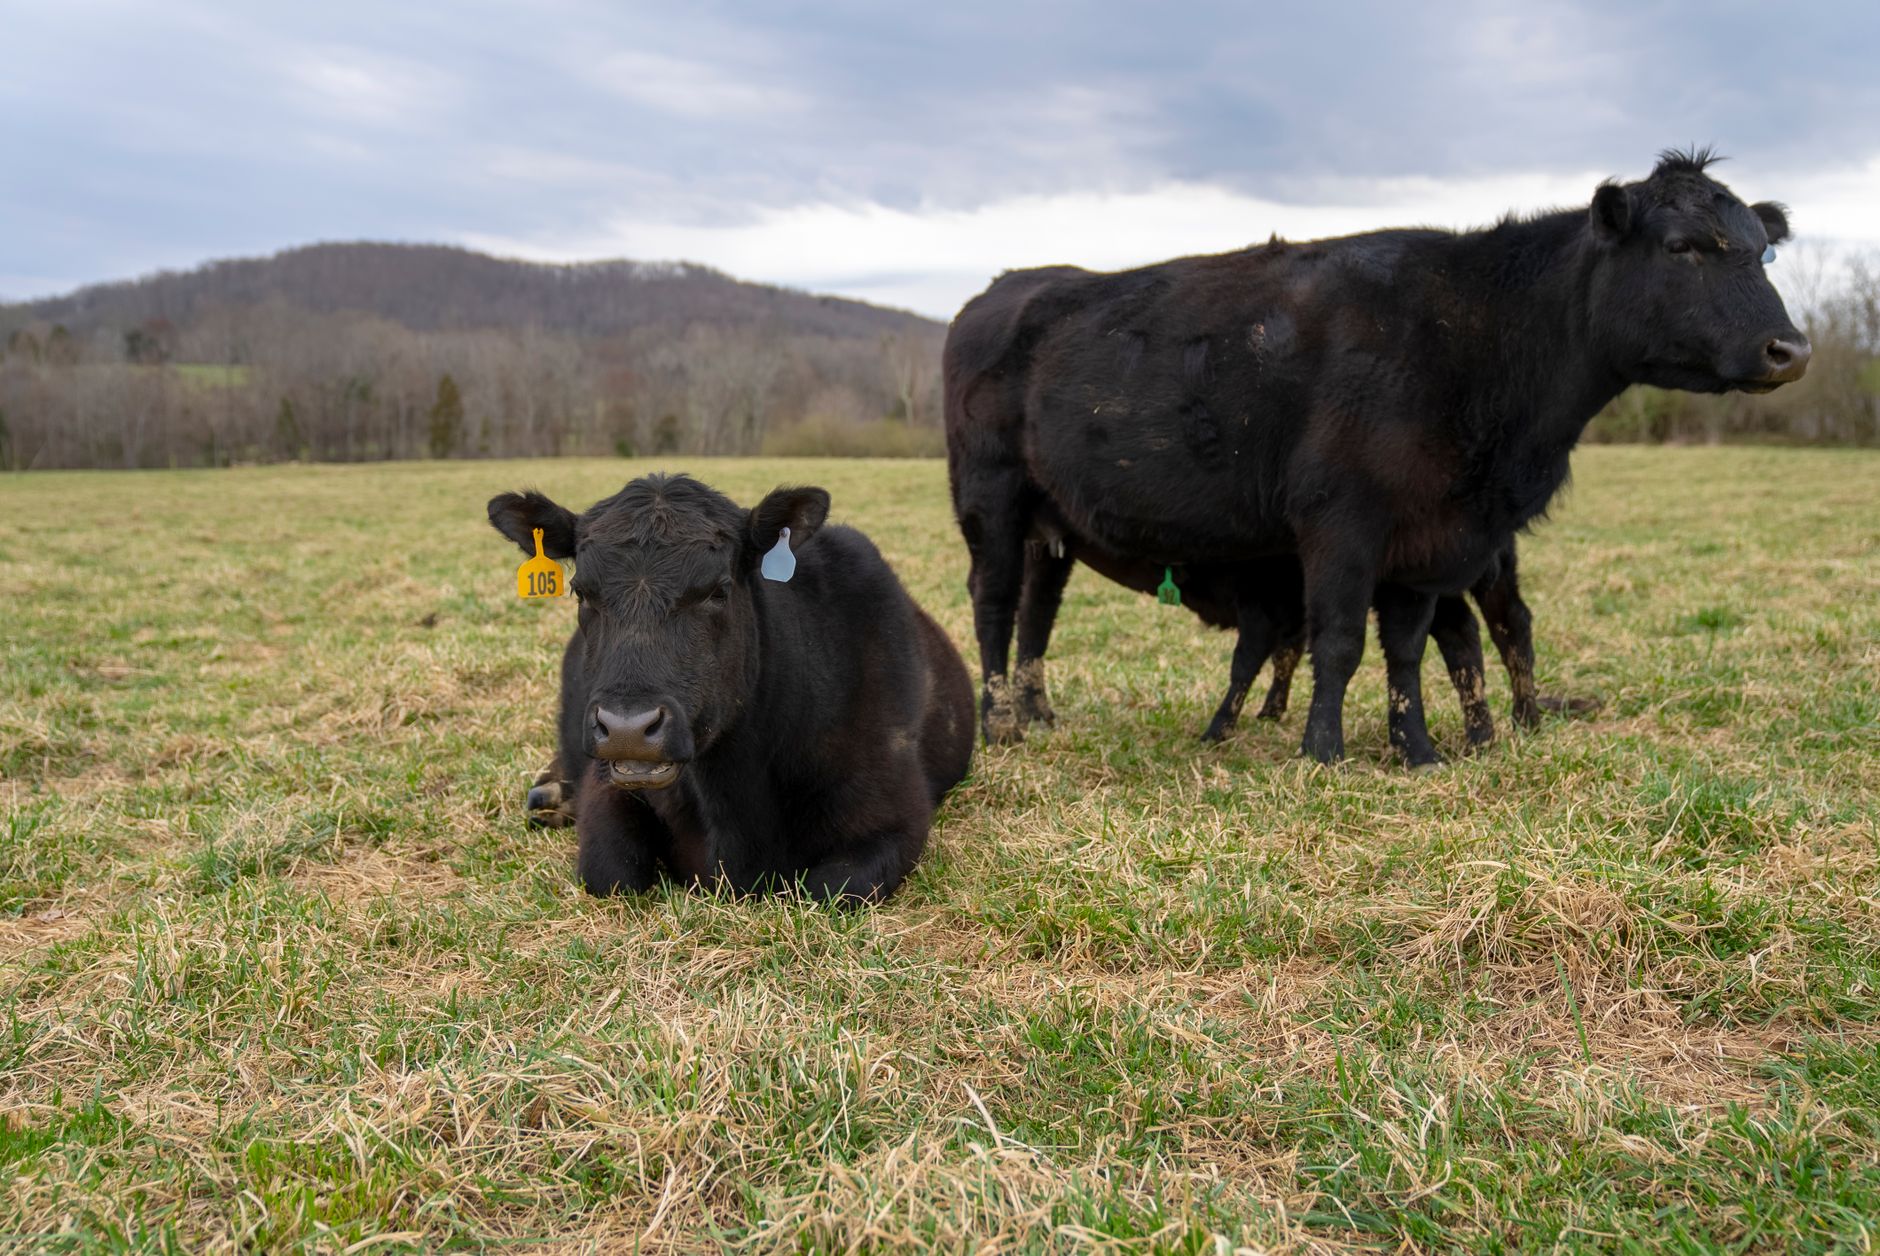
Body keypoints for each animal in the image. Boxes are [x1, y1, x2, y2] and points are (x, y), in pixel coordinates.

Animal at [488, 473, 975, 904]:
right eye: (581, 592)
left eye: (717, 591)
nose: (628, 728)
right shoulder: (608, 786)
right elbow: (610, 873)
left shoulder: (896, 817)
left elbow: (830, 890)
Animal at [945, 149, 1807, 766]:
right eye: (1682, 247)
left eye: (1763, 253)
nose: (1790, 349)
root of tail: (1004, 286)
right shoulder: (1341, 522)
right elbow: (1339, 640)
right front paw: (1322, 753)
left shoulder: (1430, 540)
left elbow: (1407, 648)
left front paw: (1416, 749)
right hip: (990, 500)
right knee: (993, 605)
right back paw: (998, 728)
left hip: (1052, 523)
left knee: (1037, 614)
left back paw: (1039, 715)